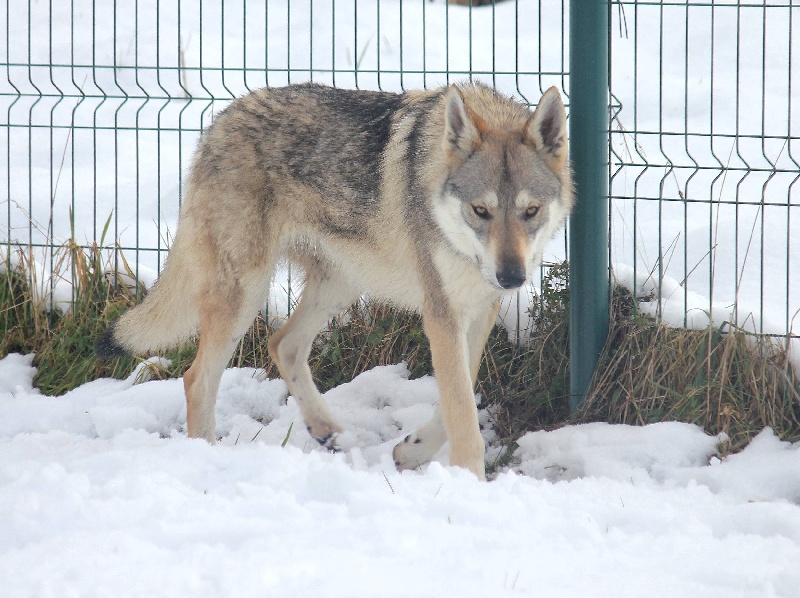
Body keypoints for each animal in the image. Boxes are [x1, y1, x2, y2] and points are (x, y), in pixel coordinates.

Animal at [98, 81, 576, 482]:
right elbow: (462, 414)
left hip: (339, 287)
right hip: (245, 295)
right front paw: (469, 483)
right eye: (481, 211)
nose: (511, 276)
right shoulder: (442, 314)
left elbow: (460, 396)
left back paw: (326, 429)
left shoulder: (478, 311)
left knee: (282, 343)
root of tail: (220, 120)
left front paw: (412, 451)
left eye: (530, 212)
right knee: (197, 379)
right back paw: (207, 457)